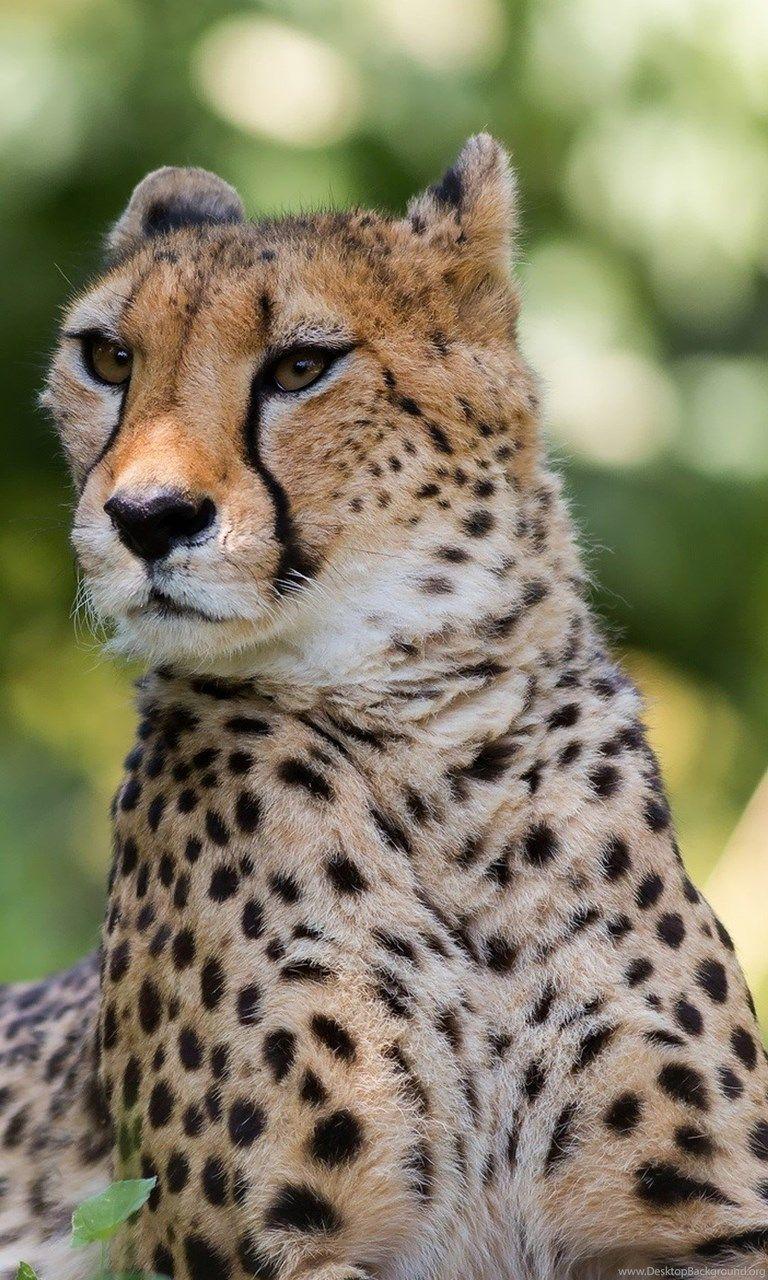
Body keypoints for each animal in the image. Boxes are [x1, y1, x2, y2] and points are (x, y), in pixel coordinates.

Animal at [1, 134, 767, 1280]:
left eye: (301, 366)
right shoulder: (261, 1241)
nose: (147, 518)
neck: (431, 741)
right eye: (108, 358)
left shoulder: (709, 1225)